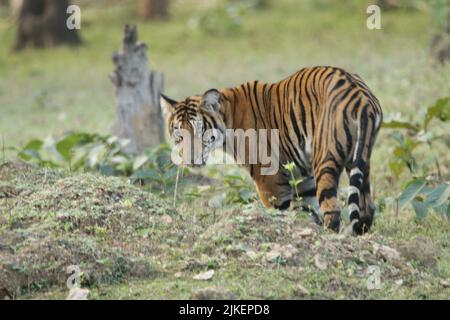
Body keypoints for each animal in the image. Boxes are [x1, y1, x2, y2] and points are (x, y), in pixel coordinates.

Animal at [160, 65, 382, 235]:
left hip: (325, 160)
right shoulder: (303, 178)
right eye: (179, 135)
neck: (228, 117)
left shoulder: (270, 181)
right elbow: (308, 210)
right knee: (367, 207)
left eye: (200, 131)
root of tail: (361, 95)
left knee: (332, 210)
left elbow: (279, 214)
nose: (189, 159)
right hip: (360, 159)